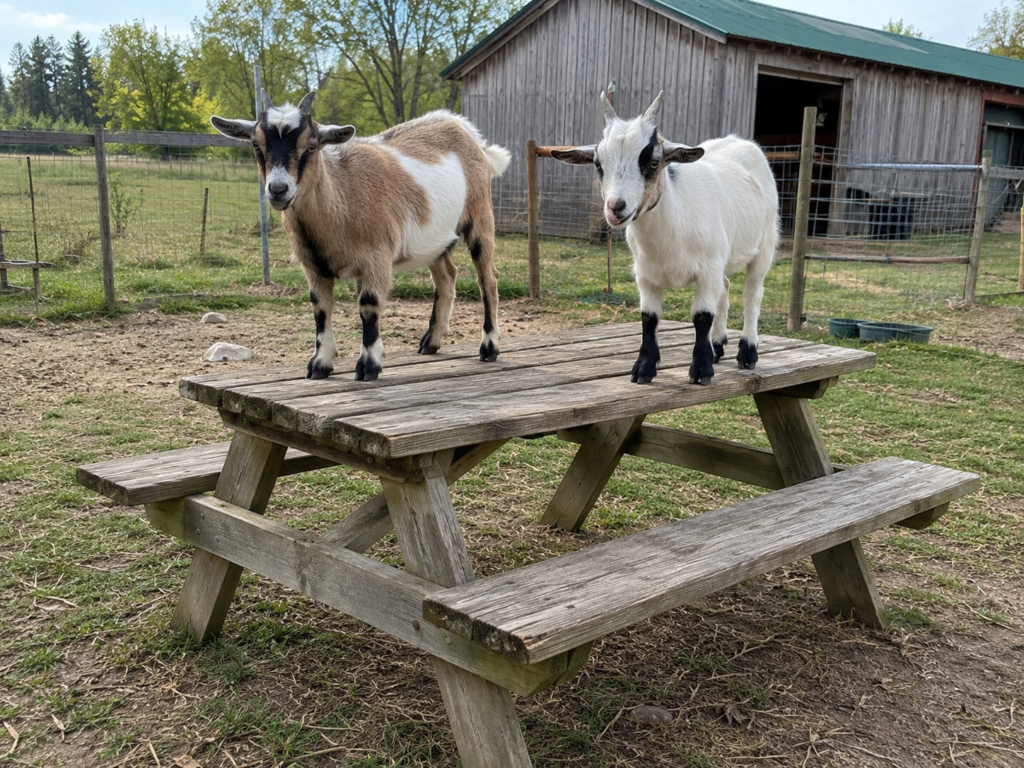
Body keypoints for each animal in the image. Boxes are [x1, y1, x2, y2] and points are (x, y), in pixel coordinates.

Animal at [210, 90, 510, 380]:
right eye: (256, 144)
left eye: (311, 146)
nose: (278, 189)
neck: (341, 195)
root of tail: (462, 128)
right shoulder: (313, 264)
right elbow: (320, 308)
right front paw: (320, 364)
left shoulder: (376, 258)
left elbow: (368, 305)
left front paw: (368, 365)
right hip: (434, 241)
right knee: (447, 276)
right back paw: (431, 342)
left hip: (481, 217)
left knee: (488, 279)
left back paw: (489, 347)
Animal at [551, 91, 778, 385]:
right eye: (599, 165)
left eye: (652, 162)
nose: (616, 207)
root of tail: (740, 142)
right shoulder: (646, 274)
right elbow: (649, 319)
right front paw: (644, 369)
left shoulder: (708, 270)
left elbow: (701, 316)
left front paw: (701, 370)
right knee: (725, 288)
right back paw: (718, 346)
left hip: (765, 243)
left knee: (752, 294)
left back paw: (747, 352)